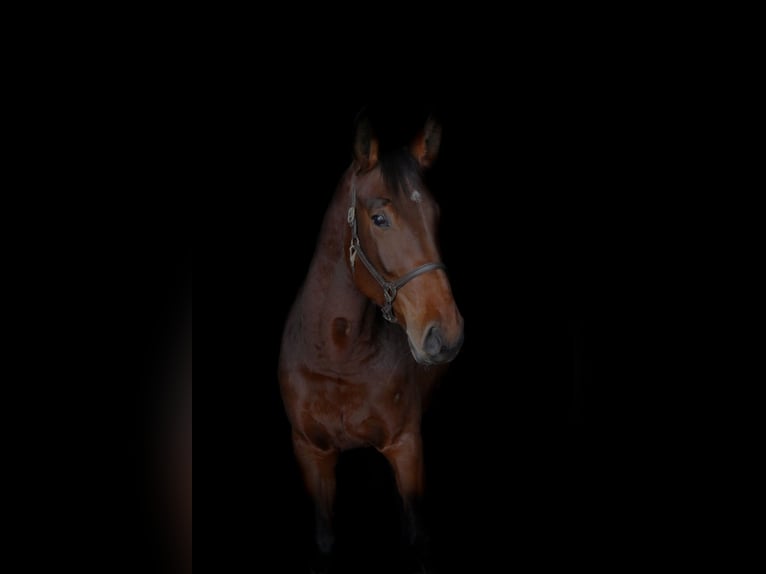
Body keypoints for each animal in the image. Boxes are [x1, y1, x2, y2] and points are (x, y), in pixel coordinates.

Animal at [278, 115, 464, 572]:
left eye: (435, 214)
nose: (445, 334)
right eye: (380, 218)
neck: (340, 355)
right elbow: (325, 539)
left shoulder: (406, 446)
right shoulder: (311, 453)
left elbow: (417, 537)